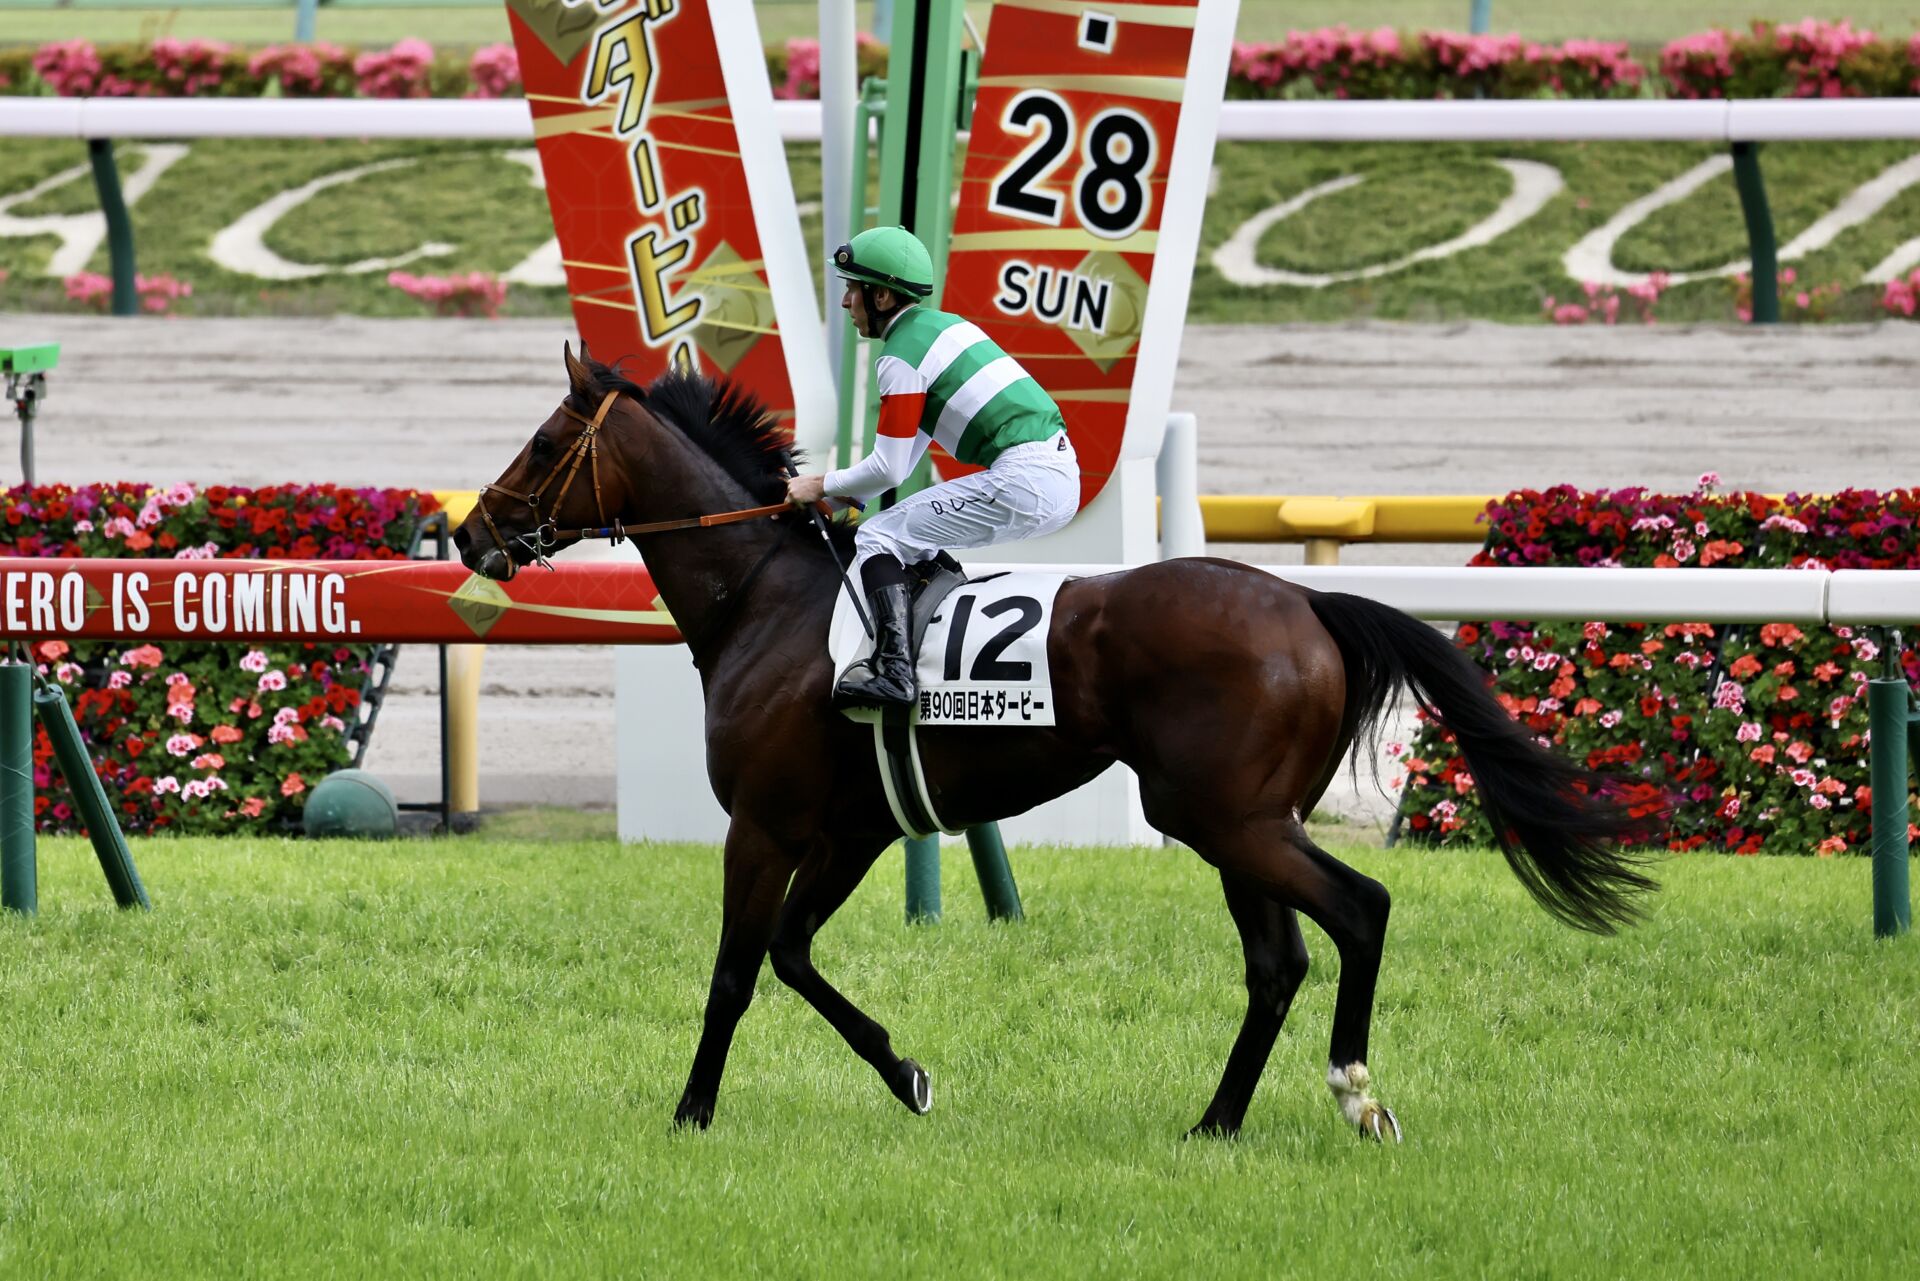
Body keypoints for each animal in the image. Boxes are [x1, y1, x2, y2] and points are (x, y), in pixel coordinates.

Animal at [452, 346, 1654, 1140]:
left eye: (546, 441)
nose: (469, 532)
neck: (765, 600)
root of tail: (1309, 604)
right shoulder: (854, 831)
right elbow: (794, 957)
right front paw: (906, 1073)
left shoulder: (767, 822)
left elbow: (738, 970)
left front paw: (691, 1111)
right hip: (1243, 819)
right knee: (1278, 962)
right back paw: (1215, 1122)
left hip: (1219, 815)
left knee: (1357, 912)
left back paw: (1355, 1093)